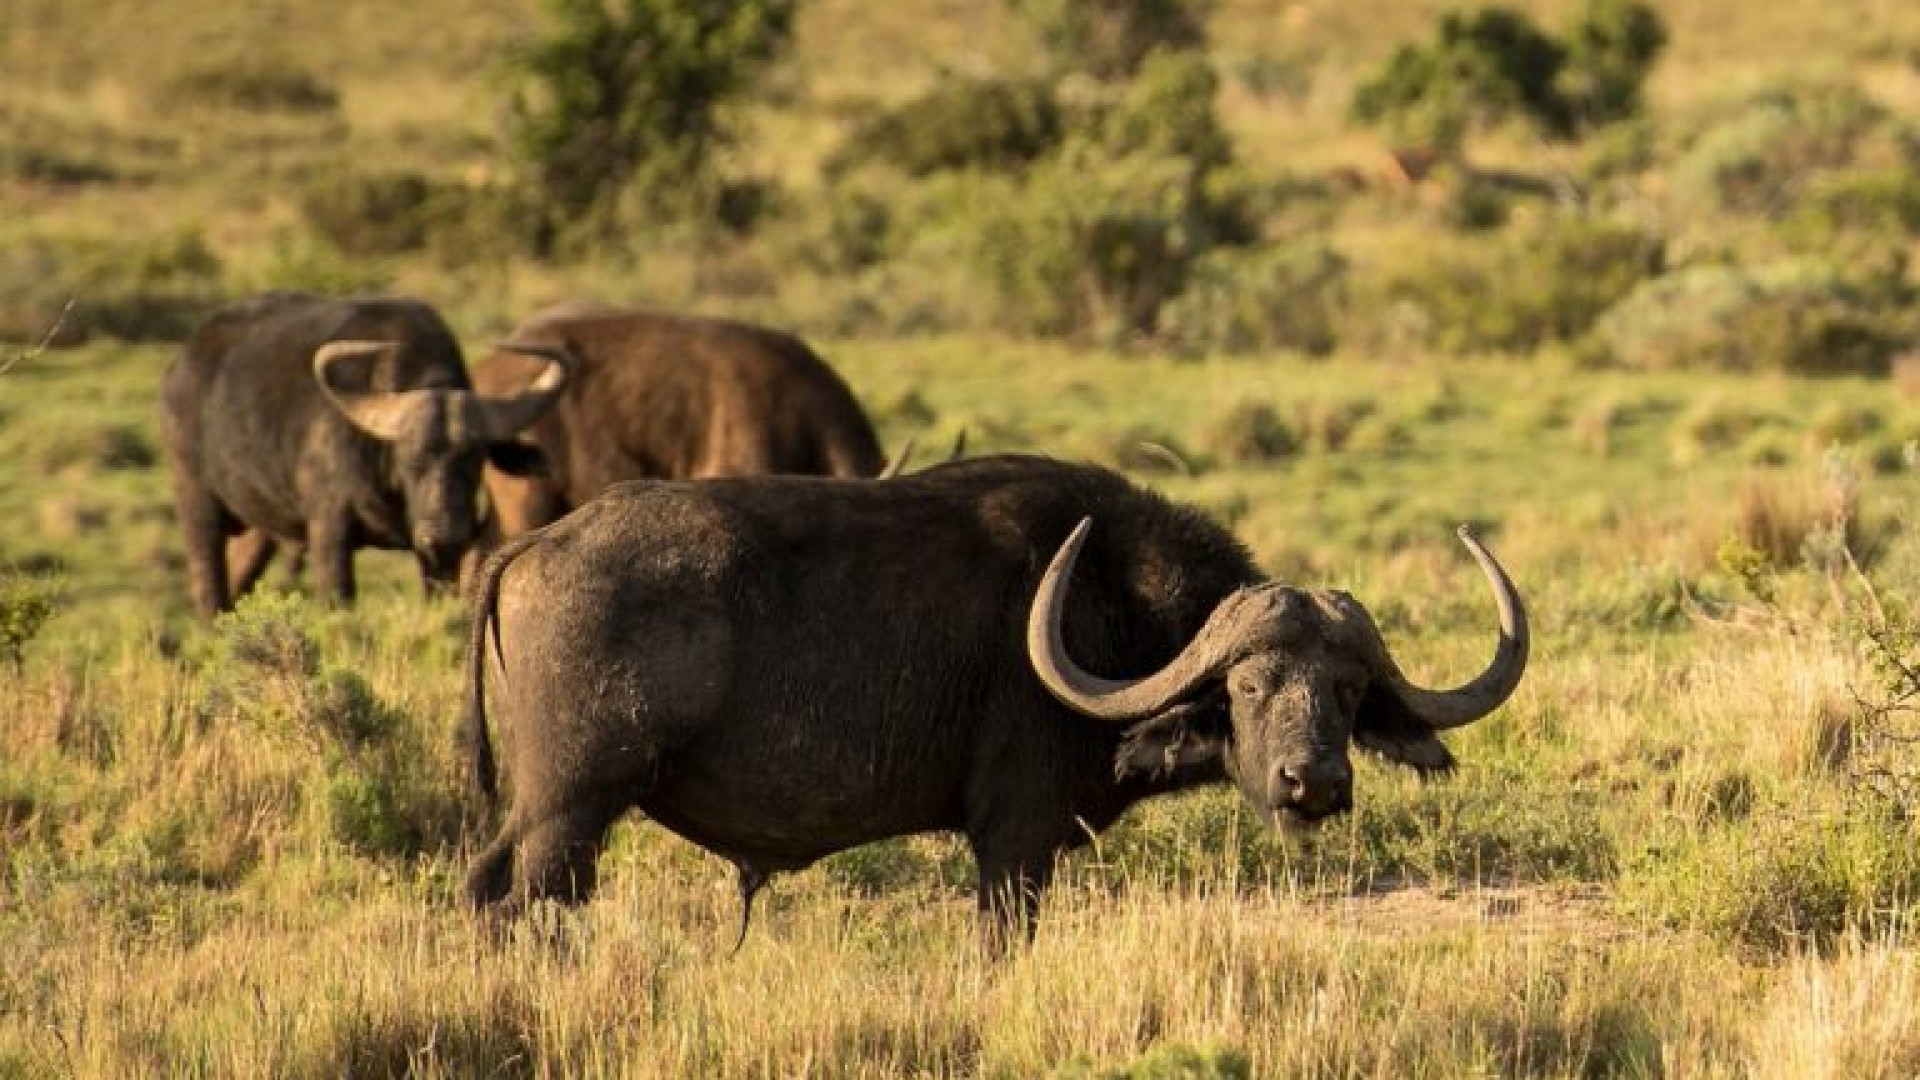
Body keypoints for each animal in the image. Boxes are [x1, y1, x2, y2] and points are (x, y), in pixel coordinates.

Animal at [161, 292, 564, 614]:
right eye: (408, 457)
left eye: (474, 458)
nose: (443, 534)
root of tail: (180, 366)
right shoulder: (329, 530)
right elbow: (338, 596)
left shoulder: (438, 559)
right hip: (195, 499)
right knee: (207, 577)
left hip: (259, 522)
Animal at [456, 449, 1520, 937]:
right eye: (1252, 681)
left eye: (1347, 687)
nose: (1315, 785)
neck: (1108, 609)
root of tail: (534, 544)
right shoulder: (1015, 843)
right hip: (570, 812)